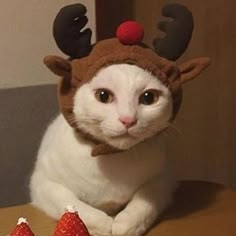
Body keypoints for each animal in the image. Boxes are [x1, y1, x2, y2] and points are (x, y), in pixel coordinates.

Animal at [29, 63, 176, 236]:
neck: (110, 157)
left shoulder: (165, 178)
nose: (128, 120)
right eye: (103, 95)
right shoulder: (41, 183)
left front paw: (126, 226)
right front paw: (103, 226)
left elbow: (146, 200)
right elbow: (71, 203)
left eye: (148, 97)